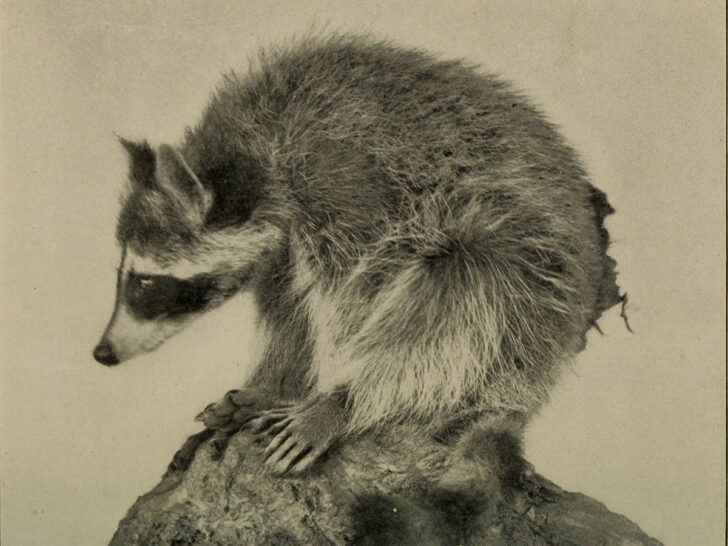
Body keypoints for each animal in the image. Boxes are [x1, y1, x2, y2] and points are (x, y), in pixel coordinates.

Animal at [94, 34, 622, 484]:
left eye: (145, 282)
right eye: (124, 276)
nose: (102, 353)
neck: (254, 159)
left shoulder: (348, 188)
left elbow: (358, 304)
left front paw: (333, 398)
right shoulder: (284, 246)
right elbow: (290, 310)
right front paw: (277, 384)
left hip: (526, 269)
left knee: (459, 294)